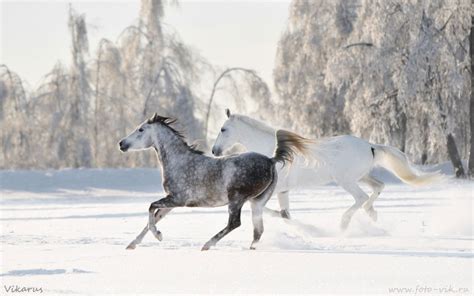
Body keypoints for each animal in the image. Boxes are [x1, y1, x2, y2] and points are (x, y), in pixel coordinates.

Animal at [120, 113, 310, 250]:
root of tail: (271, 160)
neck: (179, 161)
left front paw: (159, 236)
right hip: (257, 202)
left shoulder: (177, 199)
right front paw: (132, 244)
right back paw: (250, 248)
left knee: (235, 223)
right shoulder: (171, 202)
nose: (121, 144)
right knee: (258, 230)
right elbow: (153, 218)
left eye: (141, 130)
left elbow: (151, 208)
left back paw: (207, 245)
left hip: (236, 199)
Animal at [211, 110, 440, 230]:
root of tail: (370, 146)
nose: (214, 151)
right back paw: (372, 214)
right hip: (362, 176)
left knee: (361, 197)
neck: (271, 153)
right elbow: (285, 213)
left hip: (346, 181)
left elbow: (265, 208)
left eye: (223, 129)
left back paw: (344, 223)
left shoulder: (275, 190)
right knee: (378, 188)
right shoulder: (283, 191)